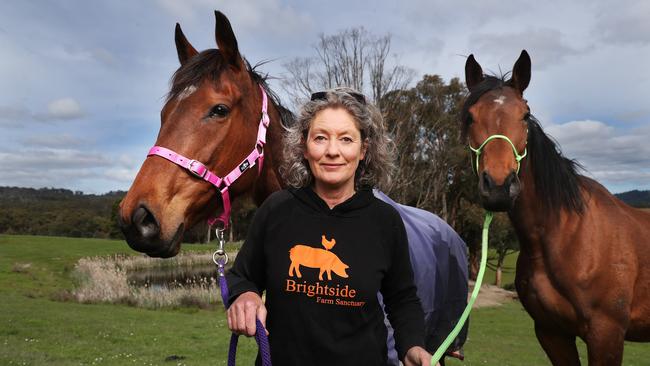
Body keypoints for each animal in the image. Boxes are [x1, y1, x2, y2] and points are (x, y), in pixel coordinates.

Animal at [460, 50, 648, 364]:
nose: (498, 187)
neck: (569, 236)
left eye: (525, 114)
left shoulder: (606, 333)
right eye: (471, 116)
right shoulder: (552, 333)